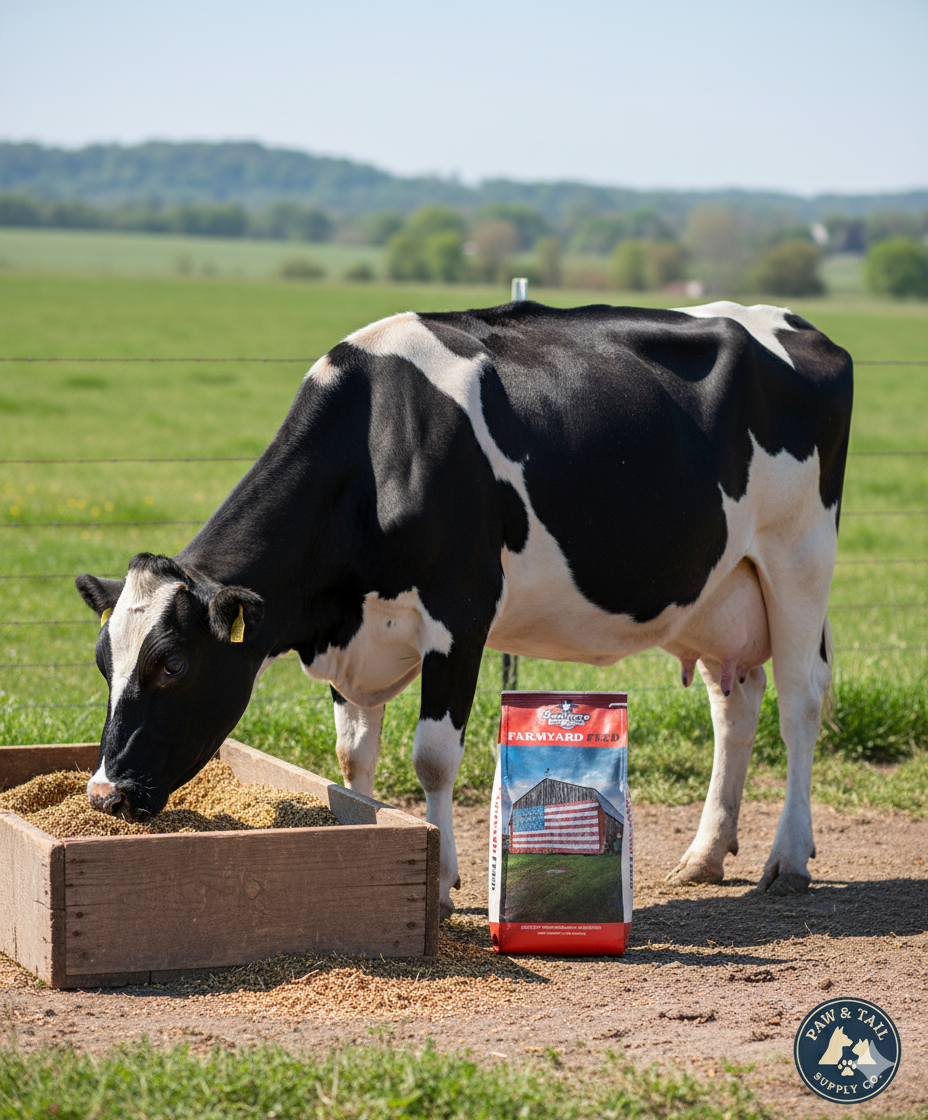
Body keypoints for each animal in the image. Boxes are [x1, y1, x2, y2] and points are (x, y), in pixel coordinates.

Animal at [75, 299, 853, 917]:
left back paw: (788, 860)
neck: (378, 446)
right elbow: (353, 757)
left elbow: (433, 758)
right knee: (735, 704)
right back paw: (705, 855)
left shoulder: (460, 616)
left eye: (174, 664)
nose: (105, 797)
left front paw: (446, 882)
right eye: (104, 663)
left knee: (799, 702)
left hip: (799, 559)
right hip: (724, 590)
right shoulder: (348, 637)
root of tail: (801, 327)